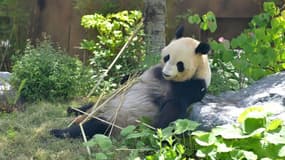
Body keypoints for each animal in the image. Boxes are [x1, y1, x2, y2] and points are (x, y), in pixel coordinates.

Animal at [50, 27, 211, 139]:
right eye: (167, 57)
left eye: (180, 64)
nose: (166, 73)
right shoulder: (153, 71)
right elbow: (134, 76)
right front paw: (124, 78)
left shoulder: (194, 86)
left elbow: (174, 108)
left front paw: (159, 132)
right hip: (103, 104)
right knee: (91, 105)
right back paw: (73, 110)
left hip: (117, 120)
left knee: (94, 126)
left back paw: (60, 131)